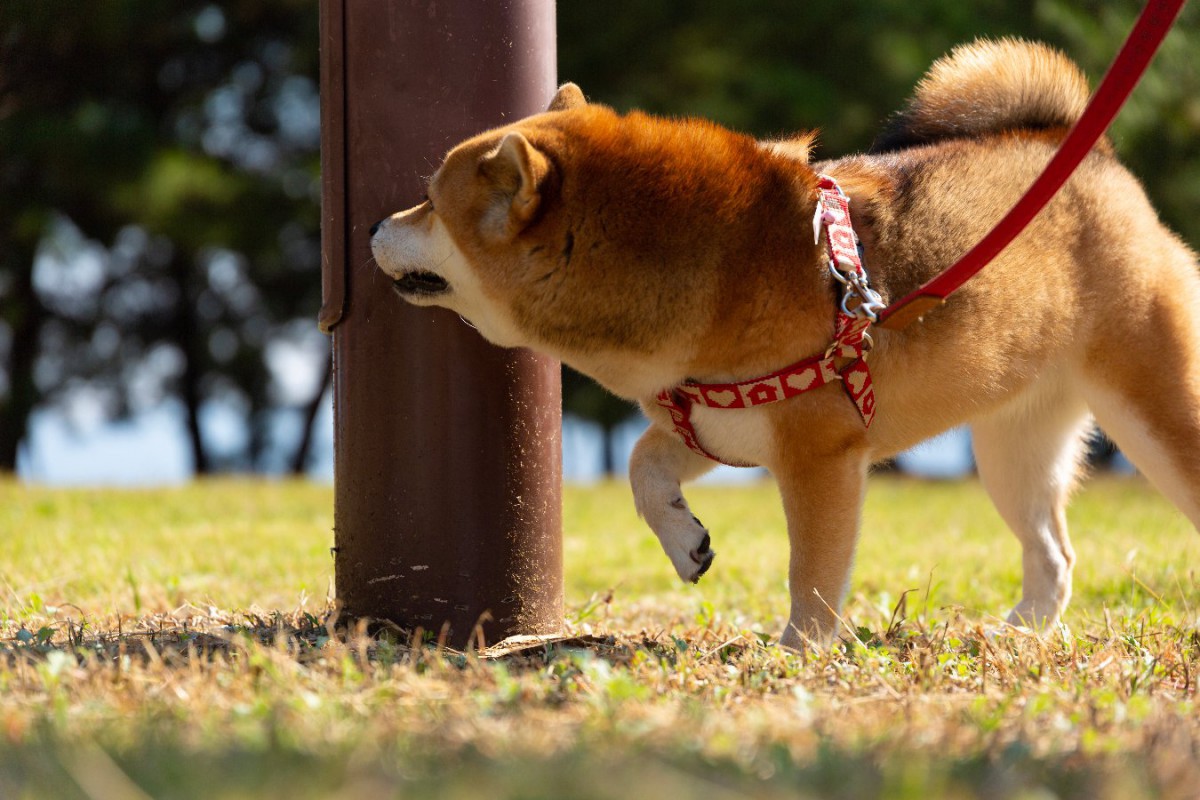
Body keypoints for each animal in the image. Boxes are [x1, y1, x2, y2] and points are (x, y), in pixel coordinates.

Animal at [372, 38, 1200, 652]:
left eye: (428, 201)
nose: (374, 223)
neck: (697, 260)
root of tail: (1087, 155)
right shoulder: (715, 420)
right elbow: (643, 469)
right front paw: (686, 542)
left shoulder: (818, 451)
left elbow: (813, 571)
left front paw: (800, 651)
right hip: (1012, 445)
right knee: (1054, 555)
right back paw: (1020, 633)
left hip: (1154, 405)